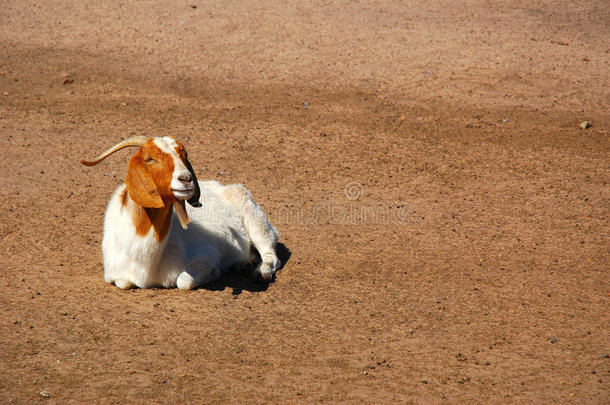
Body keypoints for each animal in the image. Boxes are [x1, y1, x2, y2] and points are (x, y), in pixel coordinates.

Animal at [81, 137, 280, 288]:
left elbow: (183, 281)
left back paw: (261, 272)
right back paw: (243, 265)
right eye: (150, 158)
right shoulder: (117, 274)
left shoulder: (206, 255)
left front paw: (216, 272)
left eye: (184, 155)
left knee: (270, 253)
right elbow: (123, 283)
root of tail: (221, 186)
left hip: (254, 218)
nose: (186, 179)